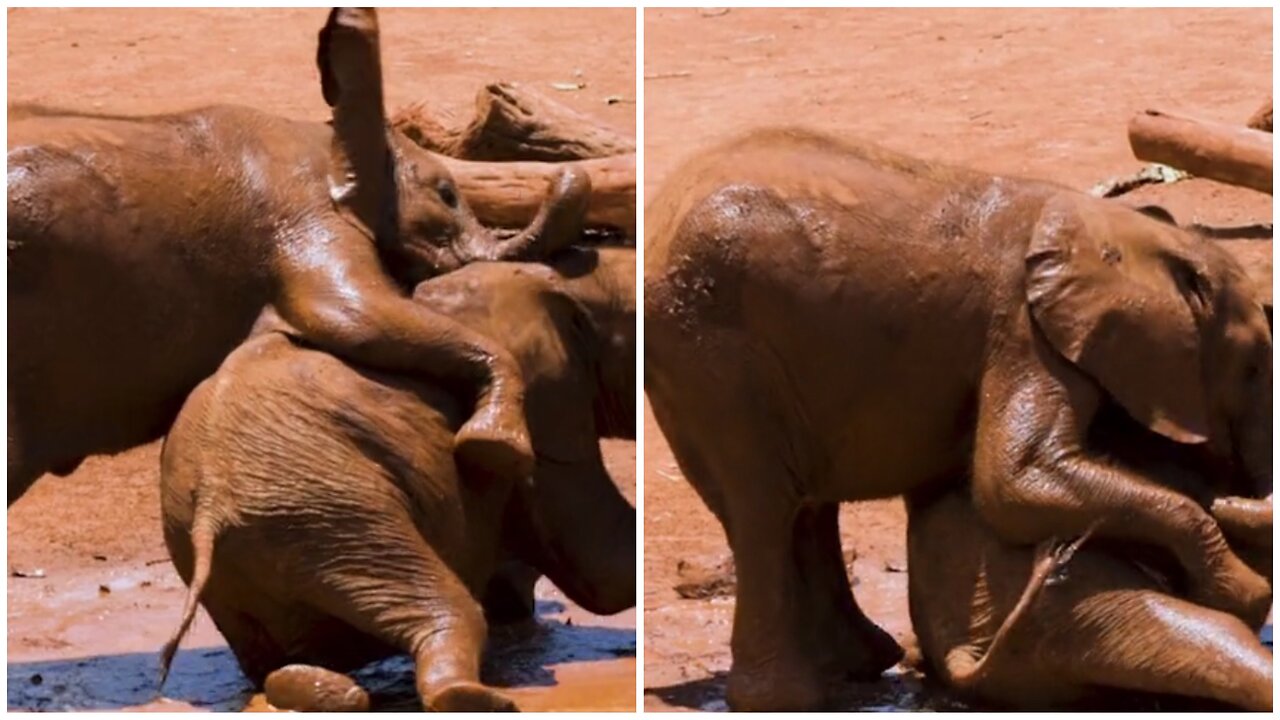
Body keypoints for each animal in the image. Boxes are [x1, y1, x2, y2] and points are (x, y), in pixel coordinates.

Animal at [3, 7, 586, 499]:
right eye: (446, 194)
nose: (568, 176)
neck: (328, 135)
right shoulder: (303, 209)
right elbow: (357, 318)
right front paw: (496, 455)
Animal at [157, 245, 637, 707]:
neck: (570, 283)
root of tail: (209, 511)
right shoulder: (549, 398)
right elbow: (599, 562)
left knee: (275, 663)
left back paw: (323, 690)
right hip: (331, 515)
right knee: (452, 612)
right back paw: (476, 698)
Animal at [645, 127, 1274, 707]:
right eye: (1252, 366)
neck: (1118, 229)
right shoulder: (1022, 331)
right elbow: (1014, 482)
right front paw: (1240, 588)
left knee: (804, 506)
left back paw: (861, 663)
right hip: (715, 352)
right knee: (763, 508)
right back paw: (791, 699)